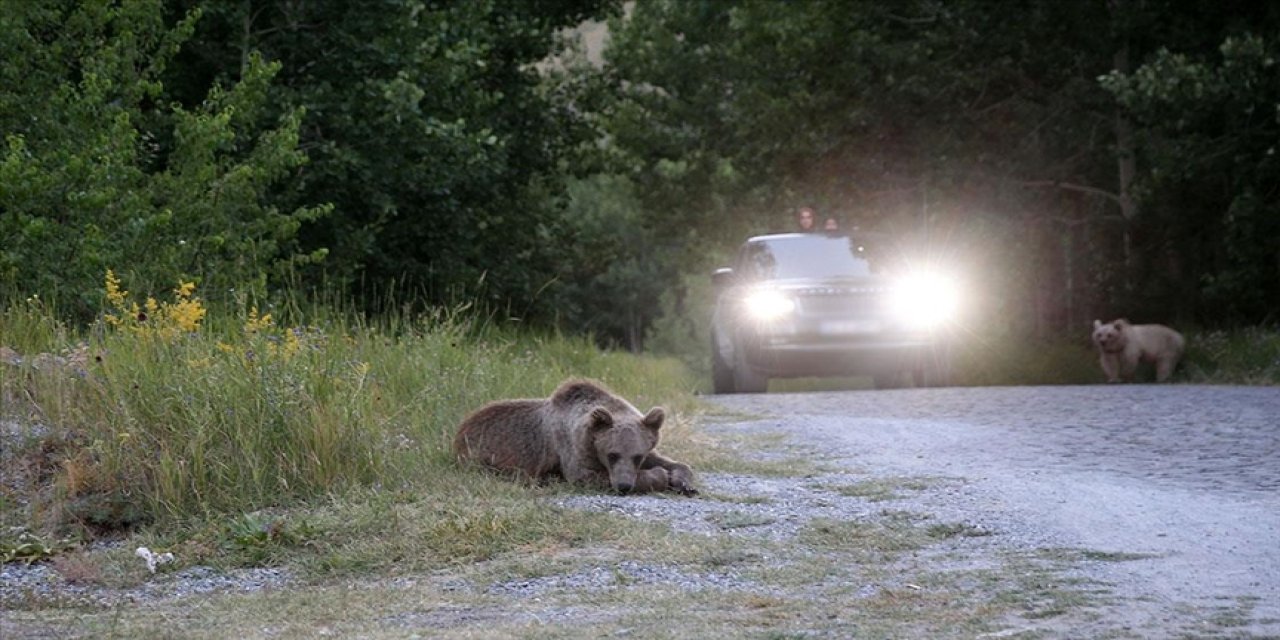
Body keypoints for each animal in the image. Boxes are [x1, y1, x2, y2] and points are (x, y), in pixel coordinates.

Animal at [450, 378, 691, 494]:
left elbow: (669, 460)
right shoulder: (572, 448)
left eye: (637, 456)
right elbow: (585, 475)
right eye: (612, 454)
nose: (623, 485)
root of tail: (462, 426)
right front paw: (660, 476)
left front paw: (683, 481)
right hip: (482, 454)